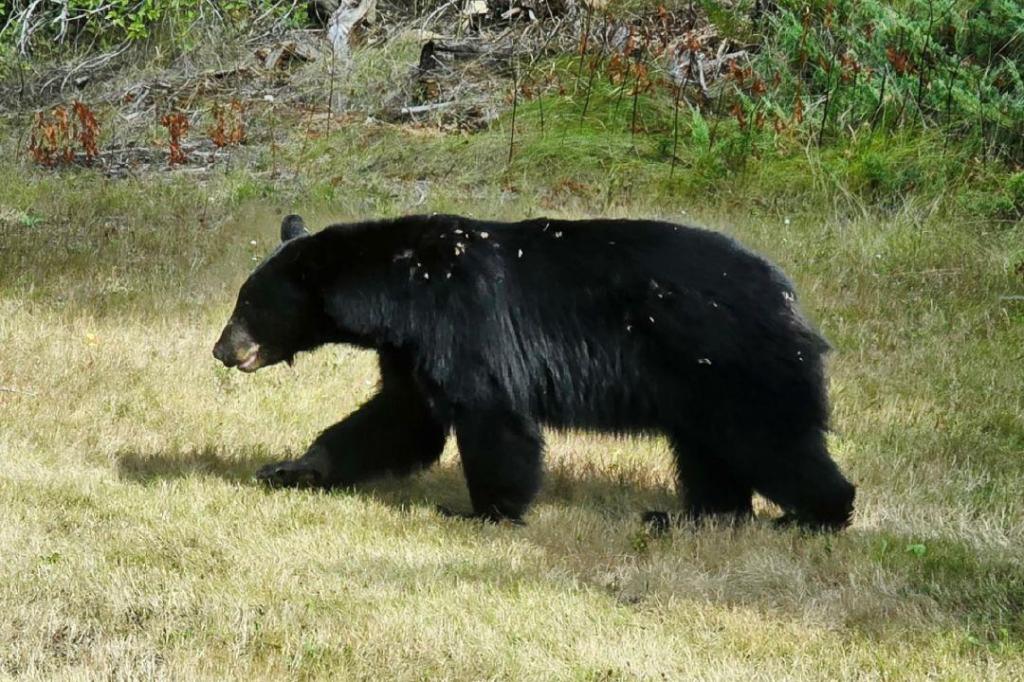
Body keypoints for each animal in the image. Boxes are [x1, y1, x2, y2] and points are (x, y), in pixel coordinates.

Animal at [213, 213, 856, 530]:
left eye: (248, 304)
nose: (221, 349)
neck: (402, 286)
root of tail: (790, 297)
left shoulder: (462, 319)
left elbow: (489, 412)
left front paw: (485, 512)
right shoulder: (411, 348)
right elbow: (400, 417)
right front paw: (292, 468)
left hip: (733, 363)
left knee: (772, 444)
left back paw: (813, 516)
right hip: (700, 384)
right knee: (708, 454)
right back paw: (690, 517)